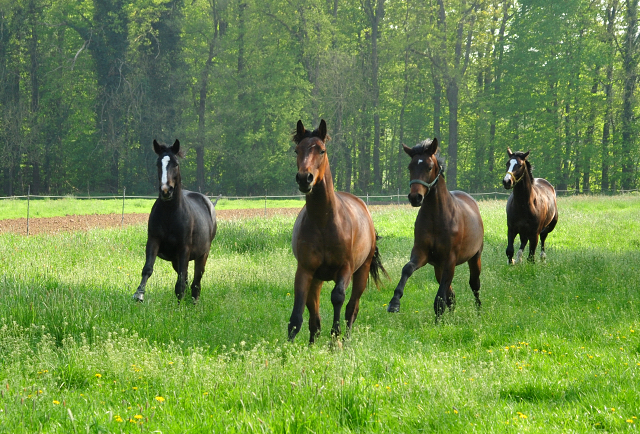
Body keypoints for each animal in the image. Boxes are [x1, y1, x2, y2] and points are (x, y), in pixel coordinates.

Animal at [131, 141, 219, 304]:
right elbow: (148, 268)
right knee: (187, 278)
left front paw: (179, 307)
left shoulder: (184, 248)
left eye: (176, 164)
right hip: (176, 260)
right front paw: (139, 294)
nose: (166, 191)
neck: (170, 215)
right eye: (158, 163)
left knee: (196, 280)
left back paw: (194, 301)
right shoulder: (154, 241)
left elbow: (181, 282)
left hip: (202, 254)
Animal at [288, 120, 384, 344]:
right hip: (317, 278)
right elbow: (298, 313)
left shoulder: (345, 269)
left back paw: (346, 341)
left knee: (352, 307)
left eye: (321, 150)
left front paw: (335, 341)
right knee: (314, 312)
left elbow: (338, 298)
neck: (324, 223)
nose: (304, 178)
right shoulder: (305, 270)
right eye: (297, 150)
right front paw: (288, 348)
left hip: (361, 271)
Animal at [384, 138, 484, 318]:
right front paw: (394, 303)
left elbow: (439, 299)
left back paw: (478, 312)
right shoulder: (421, 254)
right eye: (410, 167)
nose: (415, 197)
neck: (437, 218)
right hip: (438, 266)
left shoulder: (450, 260)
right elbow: (407, 269)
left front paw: (438, 320)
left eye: (429, 167)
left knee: (474, 284)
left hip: (474, 258)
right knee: (451, 294)